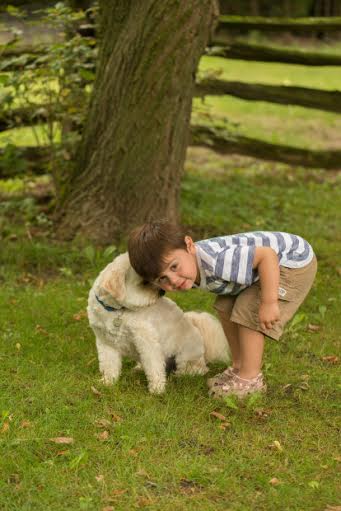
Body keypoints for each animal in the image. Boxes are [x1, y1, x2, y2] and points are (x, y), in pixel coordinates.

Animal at [87, 254, 228, 394]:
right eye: (144, 282)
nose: (161, 292)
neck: (117, 311)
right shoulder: (105, 342)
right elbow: (109, 365)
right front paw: (107, 383)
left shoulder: (147, 341)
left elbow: (153, 366)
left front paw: (157, 389)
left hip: (184, 357)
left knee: (199, 369)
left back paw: (183, 374)